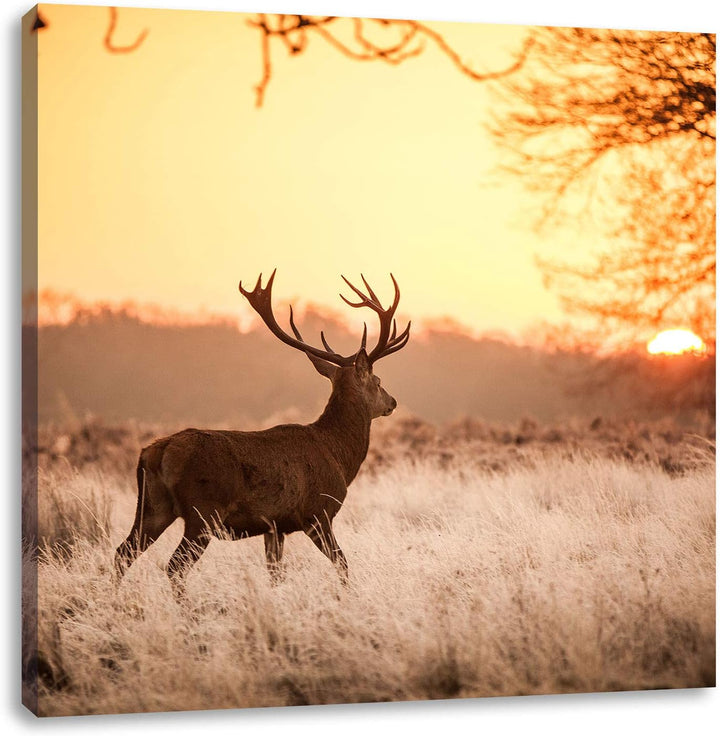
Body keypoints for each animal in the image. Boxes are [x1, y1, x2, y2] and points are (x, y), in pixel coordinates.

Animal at [114, 270, 410, 595]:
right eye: (378, 381)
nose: (393, 402)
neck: (338, 455)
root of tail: (156, 452)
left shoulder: (275, 526)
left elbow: (275, 574)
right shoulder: (317, 513)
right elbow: (342, 563)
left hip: (152, 507)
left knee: (123, 553)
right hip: (203, 512)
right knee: (174, 566)